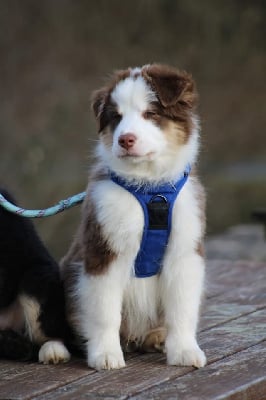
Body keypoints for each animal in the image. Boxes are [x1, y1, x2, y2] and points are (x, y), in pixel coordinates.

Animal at [61, 64, 207, 370]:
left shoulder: (184, 251)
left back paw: (157, 337)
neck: (150, 187)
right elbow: (105, 311)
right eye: (116, 117)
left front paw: (185, 350)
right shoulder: (103, 249)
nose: (125, 140)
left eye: (150, 114)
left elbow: (182, 307)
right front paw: (105, 355)